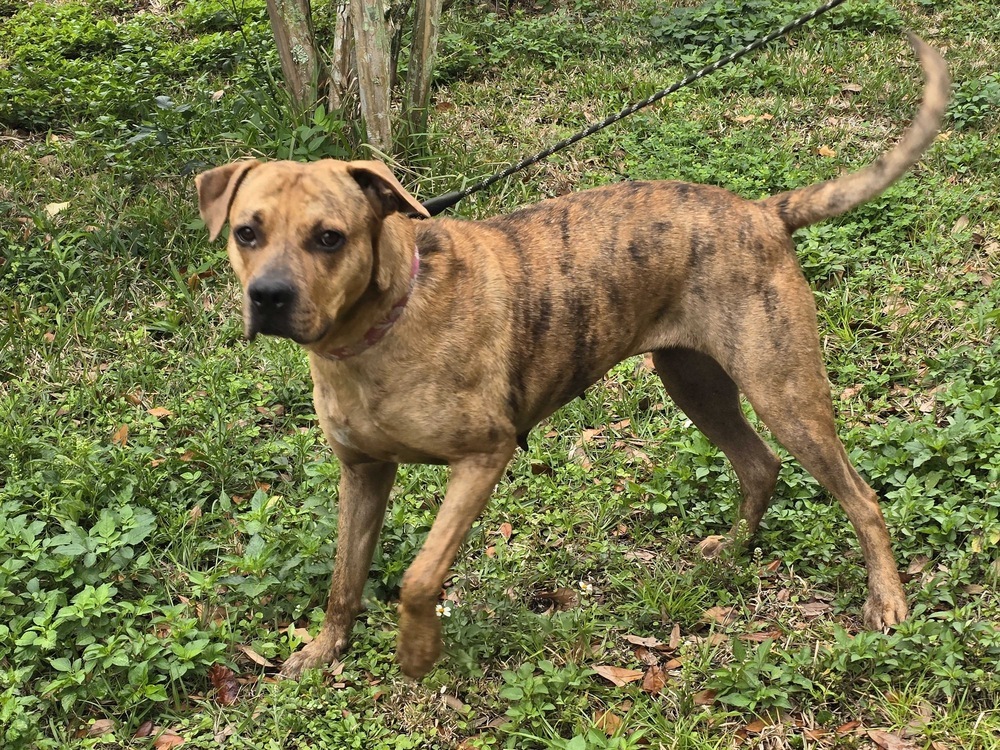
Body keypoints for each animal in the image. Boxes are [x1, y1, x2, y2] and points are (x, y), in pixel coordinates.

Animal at [197, 35, 952, 680]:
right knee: (759, 465)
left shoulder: (484, 455)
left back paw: (887, 601)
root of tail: (763, 211)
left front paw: (416, 651)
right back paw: (733, 551)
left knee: (860, 496)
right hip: (694, 382)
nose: (268, 297)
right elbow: (343, 579)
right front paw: (324, 652)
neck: (380, 325)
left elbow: (418, 576)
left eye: (330, 238)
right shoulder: (362, 473)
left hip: (784, 390)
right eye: (246, 232)